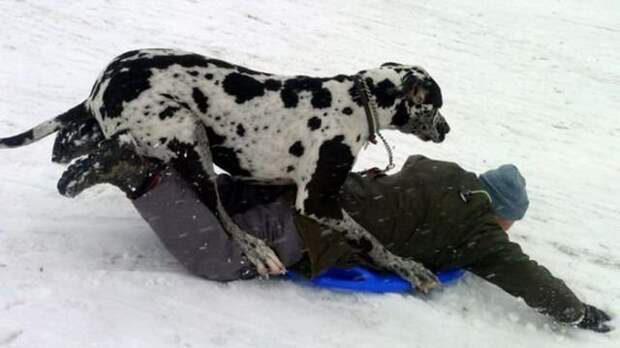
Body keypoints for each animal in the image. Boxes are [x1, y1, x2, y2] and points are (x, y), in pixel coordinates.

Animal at [0, 49, 448, 292]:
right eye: (436, 106)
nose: (446, 129)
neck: (358, 102)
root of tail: (102, 83)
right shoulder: (318, 202)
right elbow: (371, 239)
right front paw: (410, 269)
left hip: (96, 131)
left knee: (63, 147)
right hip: (189, 135)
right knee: (219, 213)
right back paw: (257, 250)